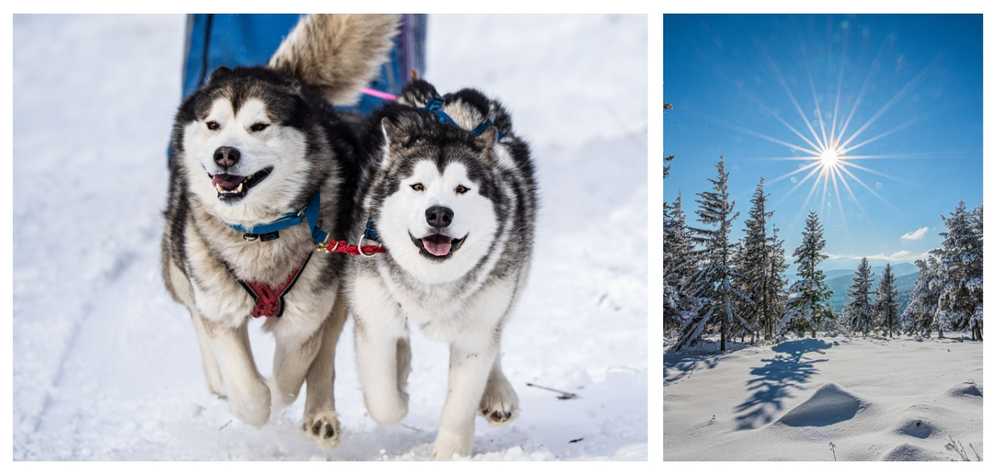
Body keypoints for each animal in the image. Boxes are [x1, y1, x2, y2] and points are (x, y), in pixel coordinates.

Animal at [160, 14, 398, 446]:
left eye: (259, 126)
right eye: (213, 124)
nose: (225, 154)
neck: (257, 233)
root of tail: (279, 73)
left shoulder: (305, 317)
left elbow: (291, 373)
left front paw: (279, 391)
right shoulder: (218, 303)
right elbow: (248, 389)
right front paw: (252, 397)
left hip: (337, 291)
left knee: (323, 359)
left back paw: (320, 415)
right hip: (181, 262)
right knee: (196, 315)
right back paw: (218, 379)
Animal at [352, 80, 540, 460]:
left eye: (462, 188)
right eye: (417, 186)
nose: (439, 213)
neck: (432, 281)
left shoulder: (477, 329)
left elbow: (460, 400)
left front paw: (450, 452)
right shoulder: (375, 319)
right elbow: (383, 400)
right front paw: (399, 388)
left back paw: (497, 392)